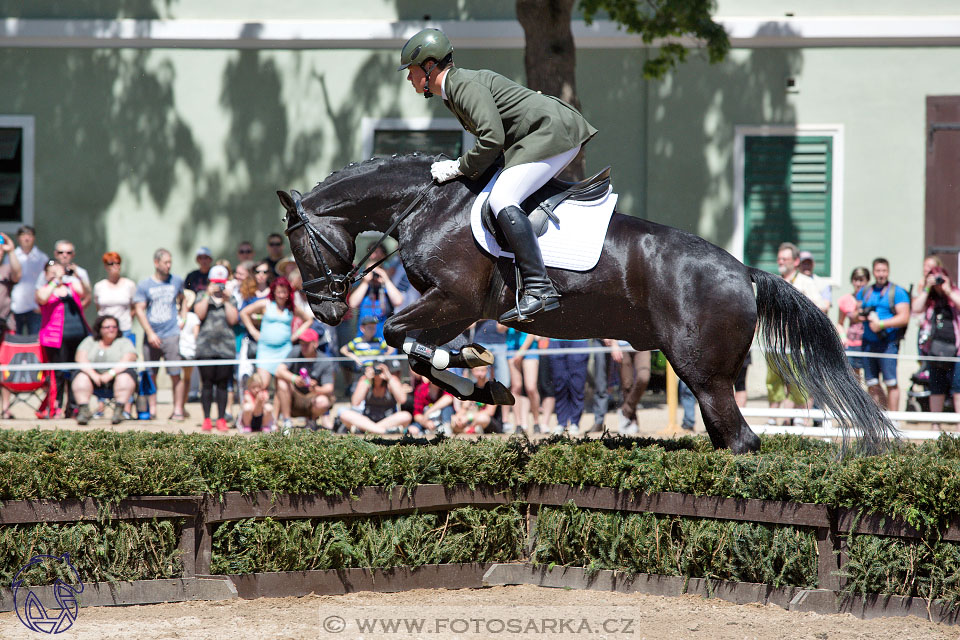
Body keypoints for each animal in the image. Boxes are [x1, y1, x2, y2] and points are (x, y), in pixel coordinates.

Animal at [282, 152, 896, 452]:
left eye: (299, 247)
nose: (327, 314)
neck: (426, 204)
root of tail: (743, 271)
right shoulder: (454, 308)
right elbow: (412, 349)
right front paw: (480, 379)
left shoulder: (453, 298)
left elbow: (398, 336)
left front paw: (474, 375)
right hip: (704, 376)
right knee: (730, 439)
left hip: (703, 372)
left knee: (741, 439)